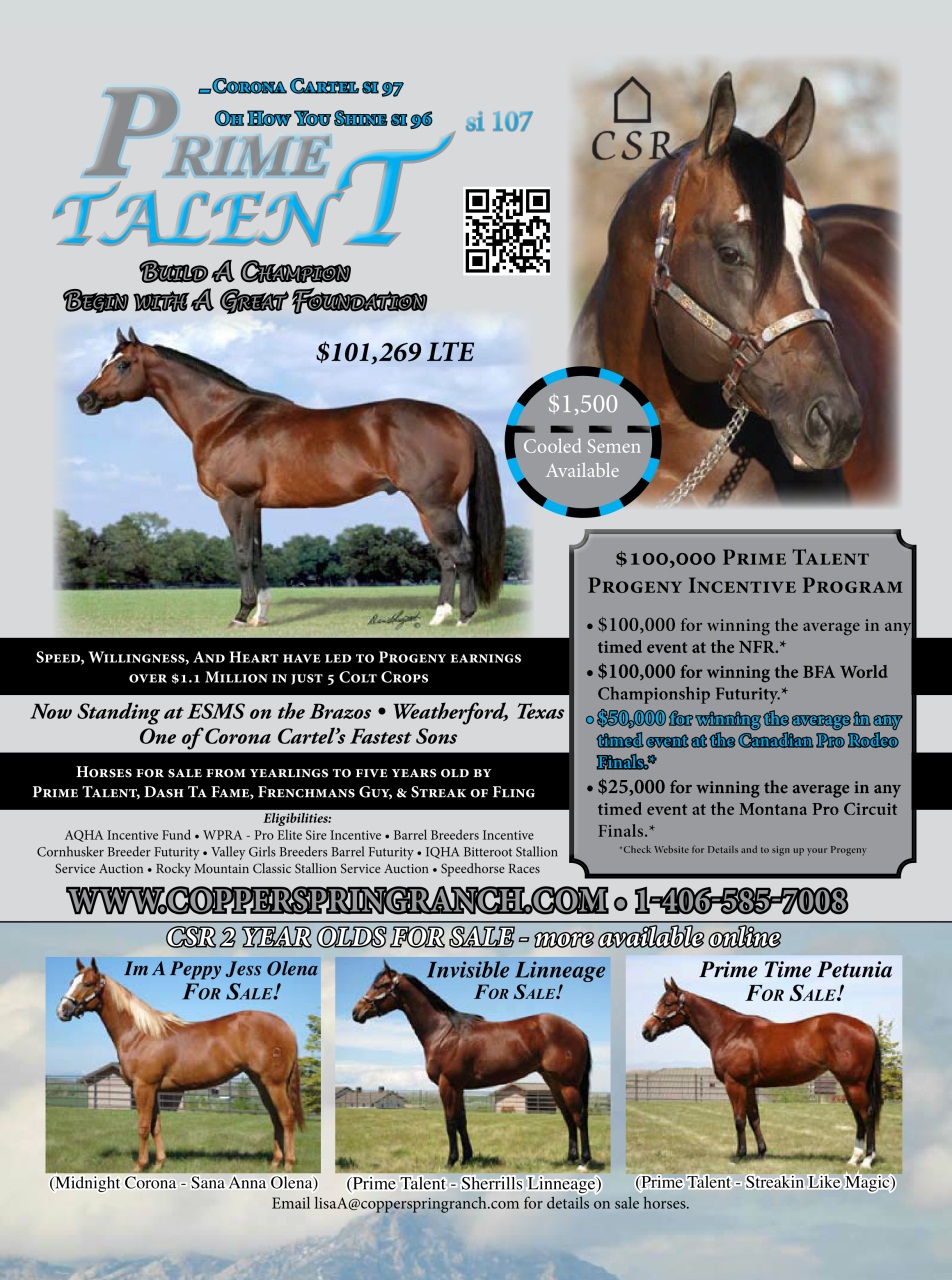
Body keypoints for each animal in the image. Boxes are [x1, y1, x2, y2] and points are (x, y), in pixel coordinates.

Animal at [56, 959, 305, 1172]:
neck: (140, 1034)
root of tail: (286, 1027)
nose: (62, 1011)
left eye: (87, 983)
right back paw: (275, 1162)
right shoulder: (154, 1089)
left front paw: (140, 1165)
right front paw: (159, 1163)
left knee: (287, 1117)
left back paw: (289, 1164)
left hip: (274, 1084)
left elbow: (143, 1126)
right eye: (71, 982)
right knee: (275, 1118)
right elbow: (156, 1126)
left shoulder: (144, 1087)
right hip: (262, 1083)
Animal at [76, 330, 505, 627]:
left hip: (435, 504)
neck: (224, 420)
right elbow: (257, 553)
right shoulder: (255, 504)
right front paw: (260, 616)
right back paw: (439, 616)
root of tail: (457, 418)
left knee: (462, 553)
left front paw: (240, 614)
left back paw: (464, 617)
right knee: (446, 558)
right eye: (103, 362)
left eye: (123, 365)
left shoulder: (234, 499)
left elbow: (241, 554)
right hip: (427, 507)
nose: (84, 401)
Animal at [352, 962, 593, 1168]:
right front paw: (467, 1158)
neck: (443, 1033)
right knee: (568, 1117)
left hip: (568, 1084)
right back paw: (570, 1159)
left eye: (379, 985)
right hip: (554, 1083)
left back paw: (584, 1161)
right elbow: (462, 1122)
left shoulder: (447, 1084)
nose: (356, 1012)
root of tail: (578, 1031)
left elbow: (450, 1122)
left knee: (579, 1116)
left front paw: (450, 1160)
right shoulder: (458, 1087)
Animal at [642, 978, 882, 1167]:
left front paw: (739, 1155)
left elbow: (739, 1120)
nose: (646, 1031)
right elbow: (754, 1118)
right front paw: (760, 1152)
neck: (730, 1032)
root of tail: (866, 1027)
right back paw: (854, 1158)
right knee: (858, 1116)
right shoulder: (749, 1086)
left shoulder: (735, 1084)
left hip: (853, 1084)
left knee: (867, 1114)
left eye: (668, 1003)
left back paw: (867, 1160)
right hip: (848, 1084)